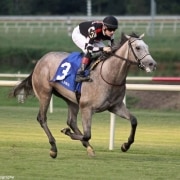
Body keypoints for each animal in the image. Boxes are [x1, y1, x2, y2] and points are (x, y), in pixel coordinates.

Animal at [12, 33, 156, 158]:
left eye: (147, 47)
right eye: (138, 47)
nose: (152, 64)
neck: (108, 75)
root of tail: (40, 60)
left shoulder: (115, 106)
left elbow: (134, 121)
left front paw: (125, 145)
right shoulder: (87, 108)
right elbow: (87, 134)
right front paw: (66, 132)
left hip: (72, 100)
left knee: (71, 121)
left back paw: (88, 147)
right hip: (45, 94)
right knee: (42, 118)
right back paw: (53, 148)